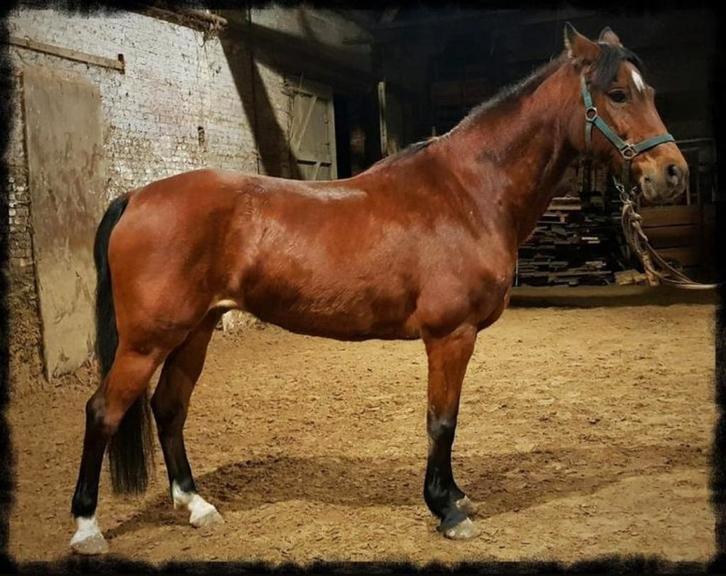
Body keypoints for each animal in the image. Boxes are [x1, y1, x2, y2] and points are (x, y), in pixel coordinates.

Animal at [69, 24, 687, 554]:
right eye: (616, 93)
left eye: (651, 91)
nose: (673, 173)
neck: (469, 192)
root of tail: (137, 197)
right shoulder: (450, 335)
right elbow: (442, 420)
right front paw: (447, 511)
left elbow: (448, 420)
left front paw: (457, 496)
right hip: (148, 339)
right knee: (103, 410)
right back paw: (86, 527)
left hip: (195, 330)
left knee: (169, 407)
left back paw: (196, 506)